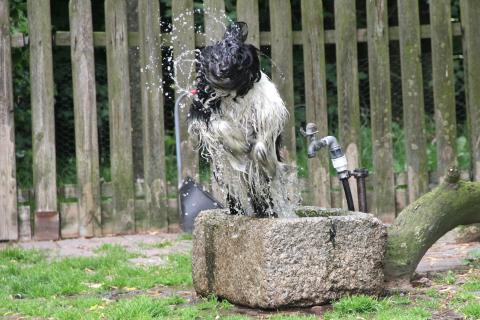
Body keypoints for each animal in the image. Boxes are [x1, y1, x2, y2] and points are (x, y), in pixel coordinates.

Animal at [188, 22, 296, 218]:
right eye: (216, 56)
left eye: (237, 60)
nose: (222, 69)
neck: (232, 92)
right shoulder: (202, 114)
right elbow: (220, 126)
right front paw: (238, 143)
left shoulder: (267, 112)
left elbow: (263, 141)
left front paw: (263, 156)